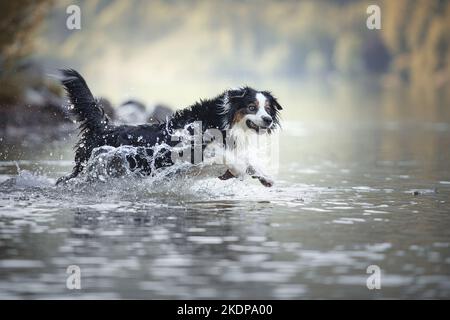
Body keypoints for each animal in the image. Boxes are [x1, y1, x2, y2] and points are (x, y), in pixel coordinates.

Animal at [56, 69, 282, 186]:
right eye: (252, 107)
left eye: (268, 109)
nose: (268, 120)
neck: (223, 119)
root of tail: (103, 127)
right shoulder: (188, 149)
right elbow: (226, 157)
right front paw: (239, 168)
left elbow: (246, 160)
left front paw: (265, 176)